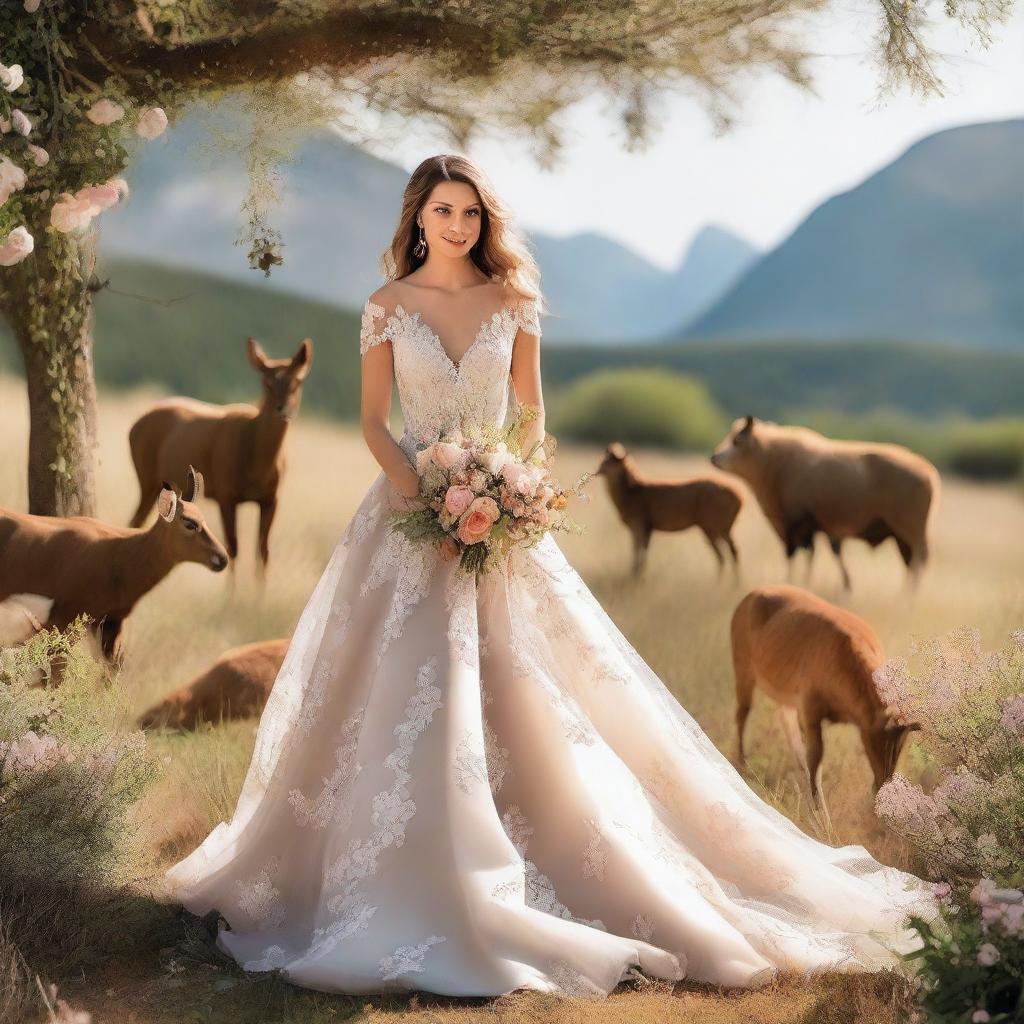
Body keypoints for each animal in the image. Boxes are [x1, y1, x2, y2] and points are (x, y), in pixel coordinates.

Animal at [0, 466, 226, 663]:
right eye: (190, 523)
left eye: (203, 519)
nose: (222, 558)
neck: (120, 551)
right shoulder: (64, 621)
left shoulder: (111, 625)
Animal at [128, 337, 311, 573]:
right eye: (267, 383)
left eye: (297, 381)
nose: (283, 410)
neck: (258, 462)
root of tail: (133, 427)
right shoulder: (226, 493)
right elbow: (233, 548)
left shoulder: (272, 498)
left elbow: (263, 552)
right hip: (146, 478)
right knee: (135, 521)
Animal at [593, 444, 745, 581]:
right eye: (604, 458)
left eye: (612, 461)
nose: (597, 471)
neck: (628, 494)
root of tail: (740, 499)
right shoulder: (648, 527)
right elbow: (643, 551)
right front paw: (639, 575)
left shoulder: (639, 522)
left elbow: (636, 550)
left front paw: (634, 577)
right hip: (725, 527)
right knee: (733, 550)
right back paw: (733, 582)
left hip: (711, 525)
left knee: (722, 555)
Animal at [729, 585, 921, 806]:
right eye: (878, 741)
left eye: (901, 747)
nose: (883, 786)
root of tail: (754, 593)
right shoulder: (810, 712)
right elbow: (816, 759)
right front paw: (819, 810)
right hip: (743, 671)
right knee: (742, 713)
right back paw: (741, 764)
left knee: (787, 724)